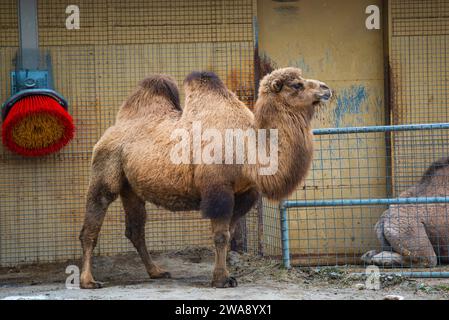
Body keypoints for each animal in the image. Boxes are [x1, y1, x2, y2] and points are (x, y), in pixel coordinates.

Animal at [79, 67, 330, 288]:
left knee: (135, 229)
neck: (247, 149)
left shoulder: (244, 193)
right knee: (92, 224)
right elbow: (220, 236)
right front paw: (222, 279)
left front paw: (224, 274)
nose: (326, 88)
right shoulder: (217, 189)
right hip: (105, 168)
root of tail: (112, 129)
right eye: (297, 85)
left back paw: (157, 271)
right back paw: (88, 281)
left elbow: (228, 235)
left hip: (131, 188)